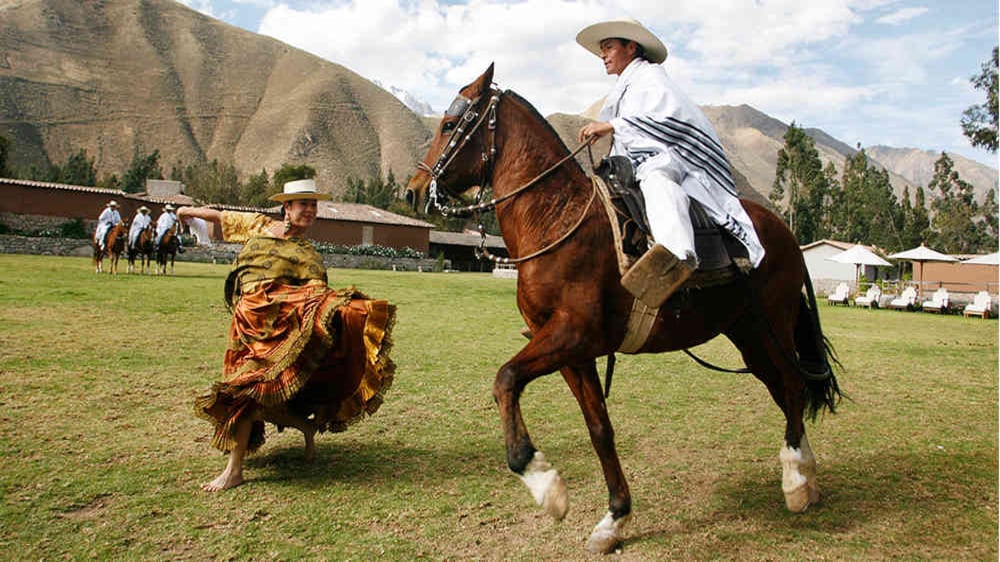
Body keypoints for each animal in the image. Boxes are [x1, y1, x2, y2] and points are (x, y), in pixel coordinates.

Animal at [405, 64, 841, 554]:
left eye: (449, 125)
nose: (413, 191)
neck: (556, 218)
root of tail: (785, 233)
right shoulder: (571, 353)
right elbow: (599, 428)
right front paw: (614, 518)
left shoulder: (571, 335)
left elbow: (506, 380)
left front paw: (545, 484)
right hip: (748, 335)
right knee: (786, 390)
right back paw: (807, 475)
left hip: (773, 328)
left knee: (793, 386)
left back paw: (796, 484)